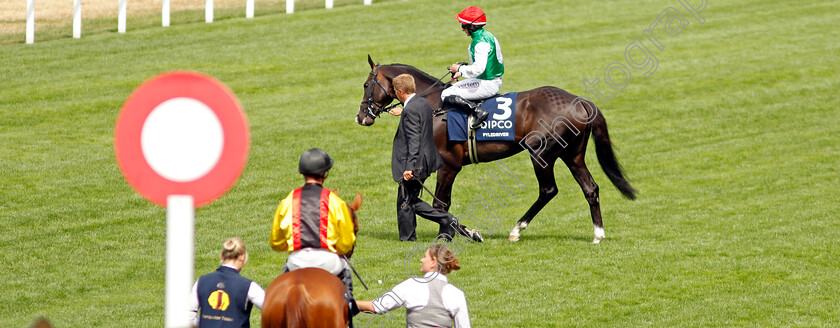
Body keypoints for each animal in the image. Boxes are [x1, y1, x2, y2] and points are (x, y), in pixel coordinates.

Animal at [354, 55, 636, 242]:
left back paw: (517, 230)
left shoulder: (449, 165)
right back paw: (598, 234)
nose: (361, 117)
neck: (435, 105)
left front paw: (449, 235)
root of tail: (580, 101)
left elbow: (440, 203)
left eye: (367, 85)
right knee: (590, 188)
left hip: (541, 154)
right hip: (572, 155)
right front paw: (461, 231)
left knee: (548, 190)